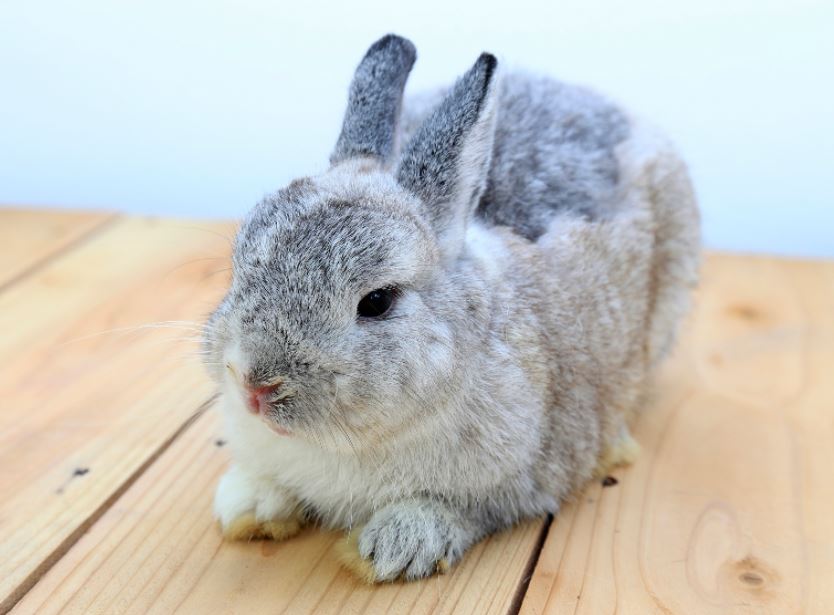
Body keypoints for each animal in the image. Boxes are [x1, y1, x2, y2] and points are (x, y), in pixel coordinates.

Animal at [203, 34, 700, 583]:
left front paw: (394, 546)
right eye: (239, 262)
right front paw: (247, 504)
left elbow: (460, 510)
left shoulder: (514, 482)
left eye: (377, 301)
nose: (255, 388)